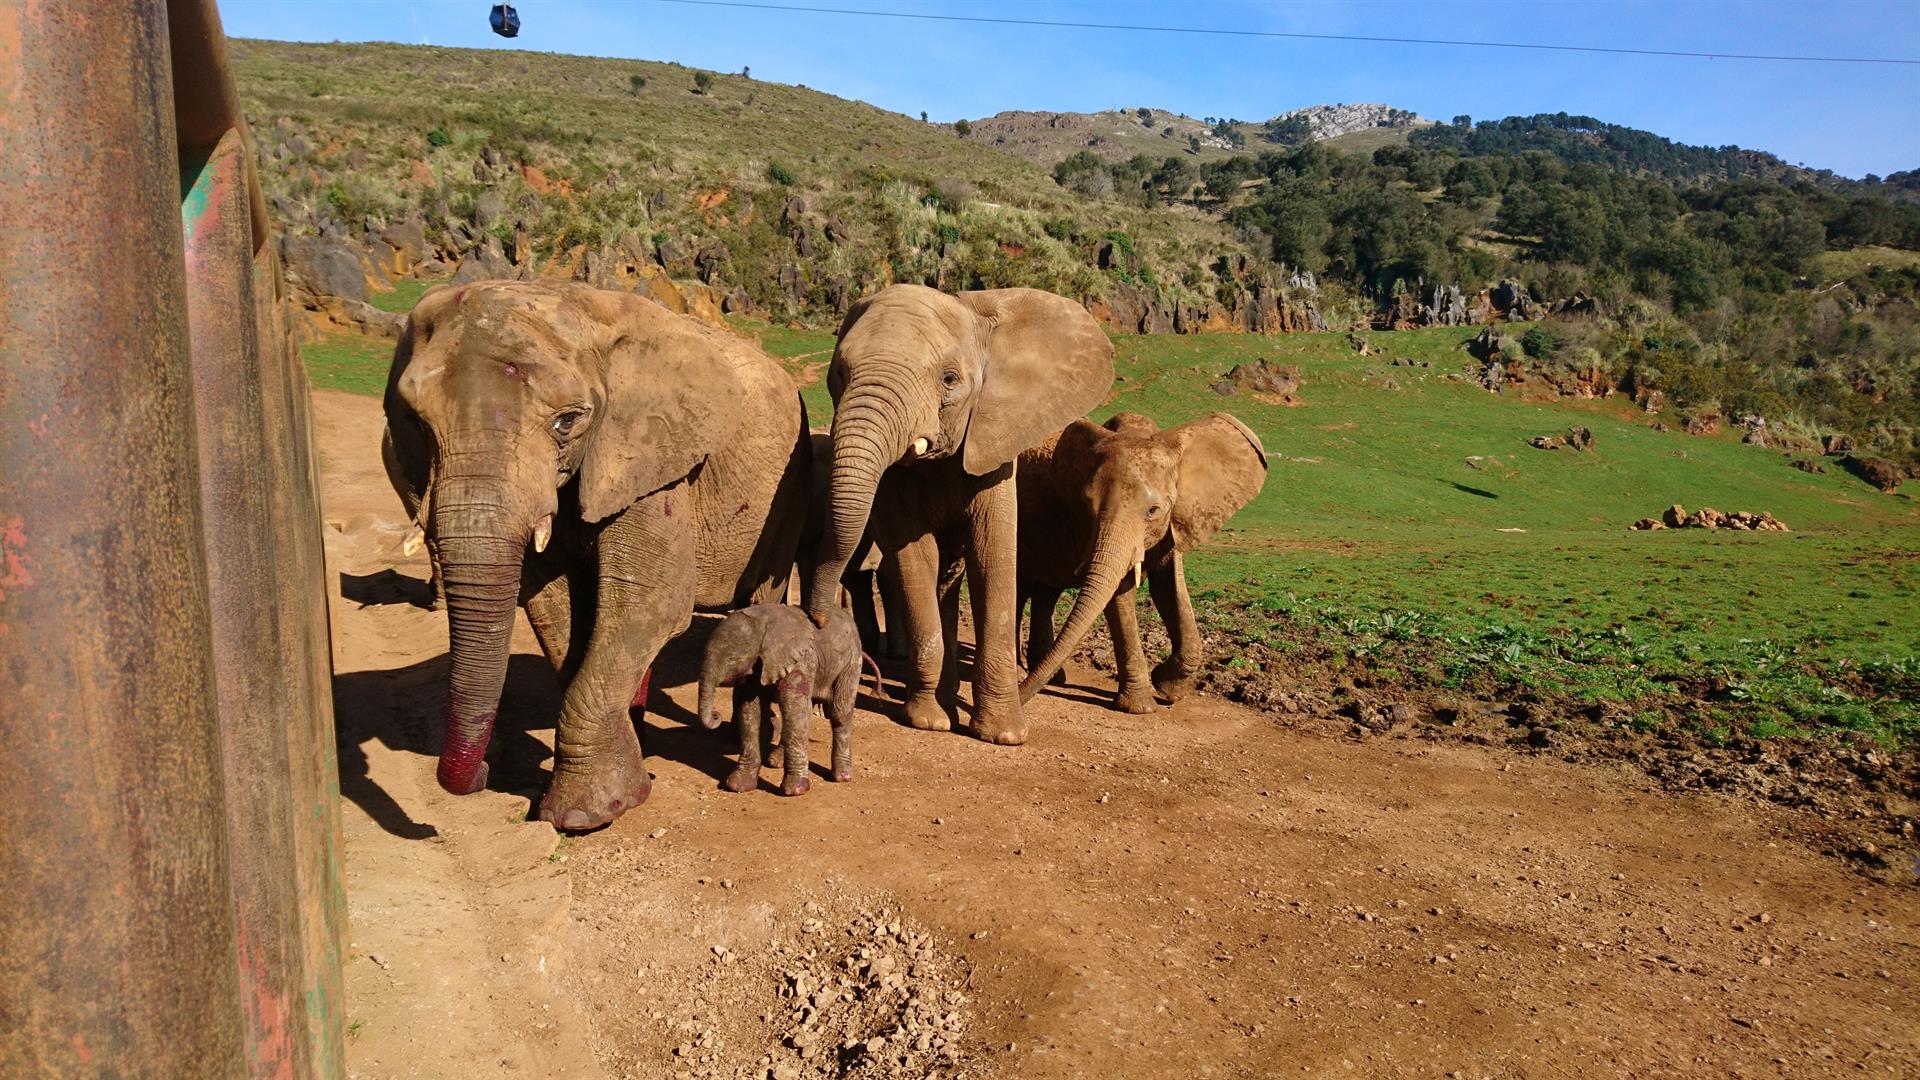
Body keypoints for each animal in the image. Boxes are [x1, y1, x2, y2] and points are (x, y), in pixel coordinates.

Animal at [385, 276, 814, 822]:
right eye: (416, 424)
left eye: (567, 422)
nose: (482, 773)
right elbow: (557, 607)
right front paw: (622, 783)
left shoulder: (654, 460)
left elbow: (653, 604)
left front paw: (582, 815)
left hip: (790, 485)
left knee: (761, 596)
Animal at [698, 599, 879, 795]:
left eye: (731, 659)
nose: (716, 715)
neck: (763, 622)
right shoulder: (757, 665)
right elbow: (750, 711)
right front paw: (737, 786)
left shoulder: (801, 661)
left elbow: (794, 708)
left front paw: (795, 791)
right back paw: (776, 761)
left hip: (851, 661)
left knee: (839, 712)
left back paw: (842, 776)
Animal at [806, 282, 1113, 745]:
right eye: (839, 374)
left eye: (948, 380)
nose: (822, 621)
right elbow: (915, 559)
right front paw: (928, 722)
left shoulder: (995, 447)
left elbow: (992, 554)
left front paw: (1004, 734)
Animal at [1013, 409, 1267, 707]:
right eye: (1087, 505)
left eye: (1153, 510)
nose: (1020, 702)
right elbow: (1119, 594)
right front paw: (1140, 706)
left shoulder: (1174, 521)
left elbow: (1168, 588)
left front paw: (1168, 689)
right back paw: (1020, 674)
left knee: (1045, 592)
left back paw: (1052, 677)